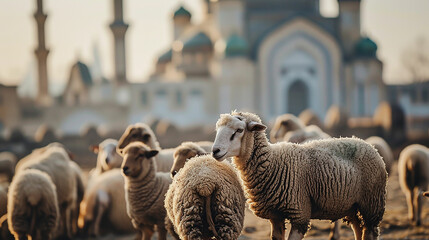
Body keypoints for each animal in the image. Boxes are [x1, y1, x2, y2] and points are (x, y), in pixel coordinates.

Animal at [212, 111, 386, 240]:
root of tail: (365, 143)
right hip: (352, 205)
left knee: (370, 231)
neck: (272, 162)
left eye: (239, 130)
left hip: (372, 202)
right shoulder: (275, 215)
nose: (215, 151)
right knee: (358, 228)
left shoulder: (300, 212)